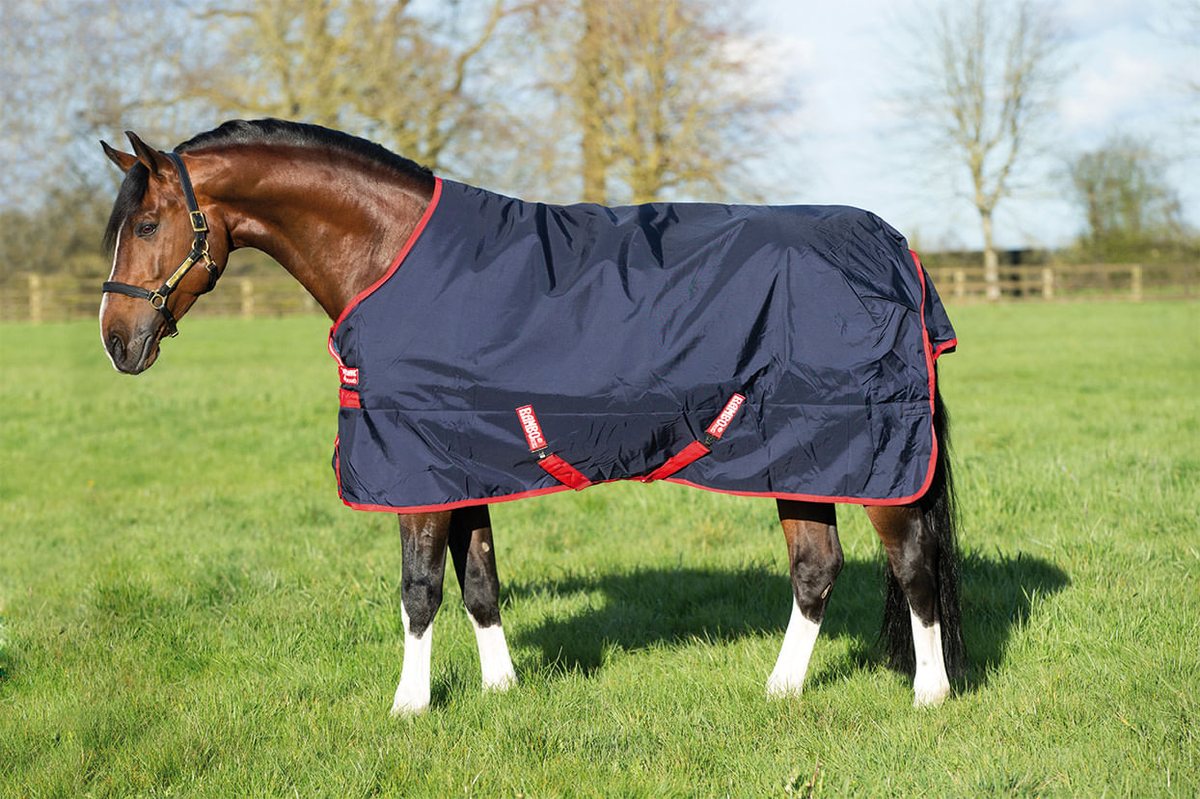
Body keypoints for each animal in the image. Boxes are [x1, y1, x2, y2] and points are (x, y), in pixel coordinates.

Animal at [98, 119, 964, 715]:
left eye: (146, 225)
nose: (116, 342)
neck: (389, 253)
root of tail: (899, 253)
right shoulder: (463, 461)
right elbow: (479, 581)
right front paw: (501, 688)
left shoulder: (417, 465)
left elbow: (419, 587)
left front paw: (409, 707)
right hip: (801, 452)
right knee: (817, 567)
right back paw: (779, 690)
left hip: (874, 452)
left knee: (913, 564)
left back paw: (931, 694)